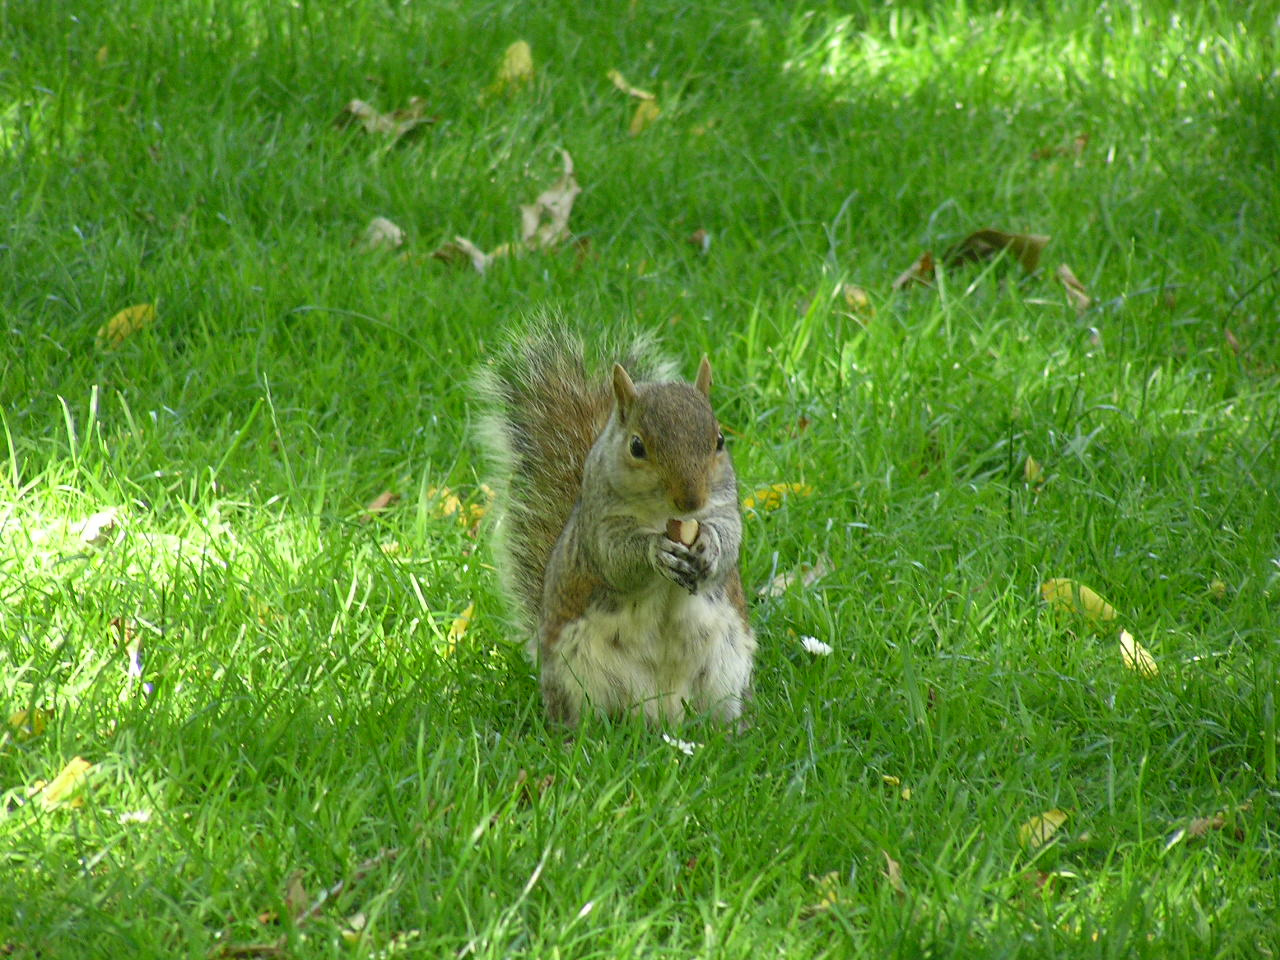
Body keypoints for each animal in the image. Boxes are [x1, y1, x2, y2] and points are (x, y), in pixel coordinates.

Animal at [481, 325, 757, 727]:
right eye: (637, 446)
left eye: (719, 440)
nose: (691, 501)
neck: (663, 517)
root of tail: (664, 713)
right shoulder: (599, 529)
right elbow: (617, 561)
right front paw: (657, 552)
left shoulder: (724, 507)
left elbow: (730, 539)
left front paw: (709, 545)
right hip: (575, 678)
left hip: (726, 667)